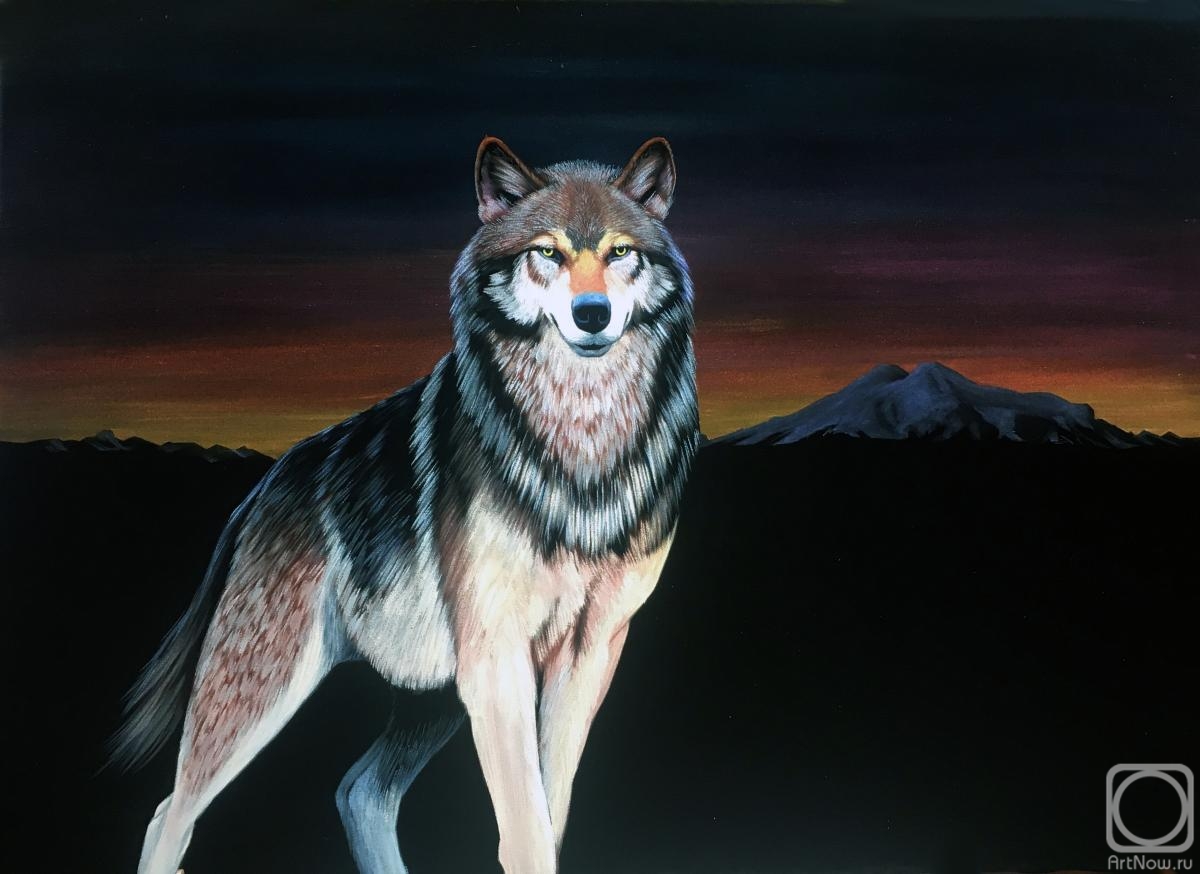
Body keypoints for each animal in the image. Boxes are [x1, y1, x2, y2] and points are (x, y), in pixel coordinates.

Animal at [112, 136, 698, 874]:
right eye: (548, 252)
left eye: (621, 252)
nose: (591, 314)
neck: (581, 450)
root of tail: (265, 485)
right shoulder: (498, 657)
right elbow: (526, 829)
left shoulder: (590, 654)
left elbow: (551, 814)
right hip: (265, 688)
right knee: (170, 814)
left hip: (433, 700)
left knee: (359, 790)